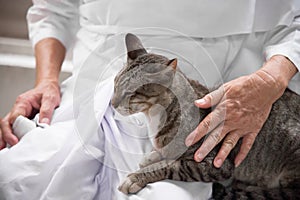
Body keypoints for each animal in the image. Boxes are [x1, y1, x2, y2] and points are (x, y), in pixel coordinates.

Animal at [112, 33, 300, 199]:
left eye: (129, 93)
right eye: (114, 85)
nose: (112, 104)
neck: (153, 116)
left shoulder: (214, 164)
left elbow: (171, 165)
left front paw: (136, 176)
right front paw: (153, 154)